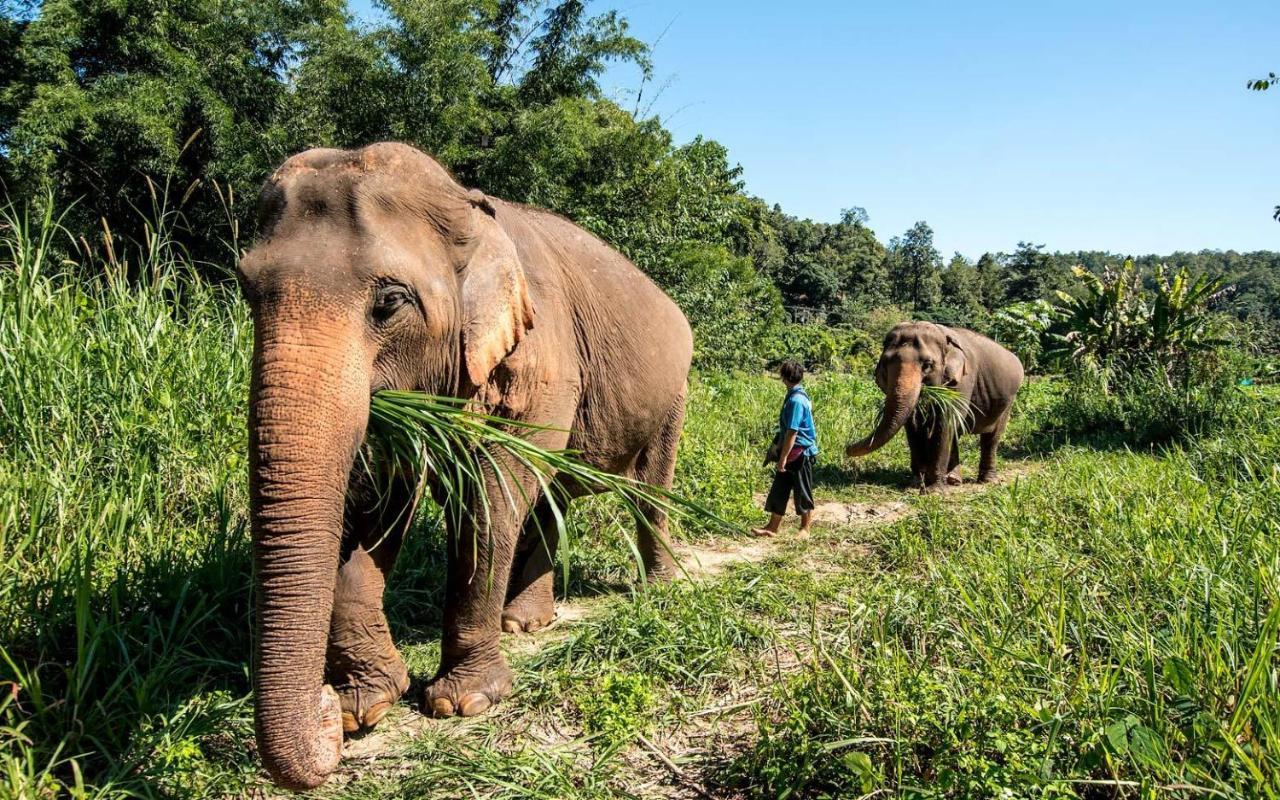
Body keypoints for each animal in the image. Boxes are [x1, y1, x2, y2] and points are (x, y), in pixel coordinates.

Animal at [241, 142, 701, 788]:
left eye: (389, 302)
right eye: (246, 288)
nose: (324, 715)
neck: (466, 204)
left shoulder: (542, 358)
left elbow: (493, 493)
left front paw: (462, 703)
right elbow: (377, 505)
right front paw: (366, 708)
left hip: (674, 390)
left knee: (648, 488)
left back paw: (654, 590)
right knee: (551, 497)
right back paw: (526, 624)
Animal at [844, 321, 1024, 488]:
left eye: (927, 365)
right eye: (885, 364)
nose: (846, 448)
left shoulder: (964, 380)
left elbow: (944, 422)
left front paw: (934, 489)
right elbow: (913, 426)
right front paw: (916, 484)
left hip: (1009, 401)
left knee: (991, 438)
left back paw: (987, 481)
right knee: (956, 435)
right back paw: (953, 480)